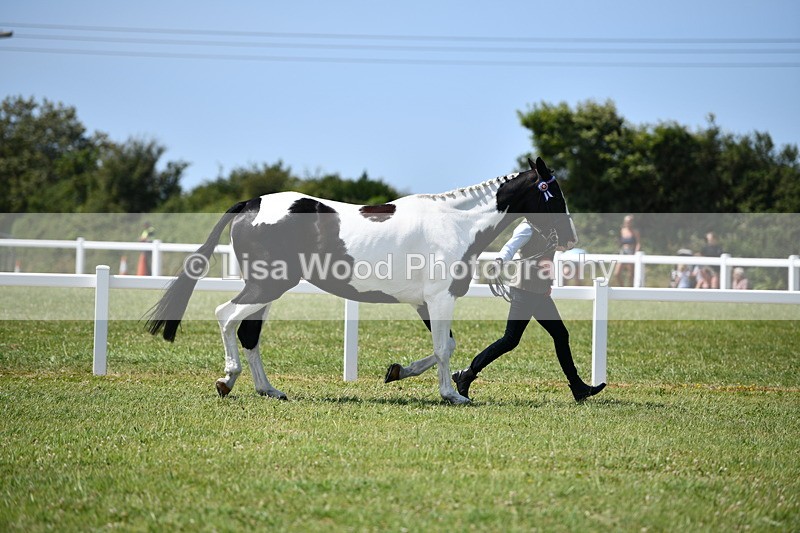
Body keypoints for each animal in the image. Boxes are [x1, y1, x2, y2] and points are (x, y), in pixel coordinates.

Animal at [145, 157, 577, 404]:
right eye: (553, 193)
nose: (570, 238)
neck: (454, 224)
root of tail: (252, 204)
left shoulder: (424, 301)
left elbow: (445, 346)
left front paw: (398, 371)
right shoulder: (441, 298)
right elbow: (443, 349)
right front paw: (452, 395)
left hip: (266, 288)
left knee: (249, 333)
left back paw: (269, 390)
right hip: (267, 286)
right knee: (226, 315)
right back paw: (227, 380)